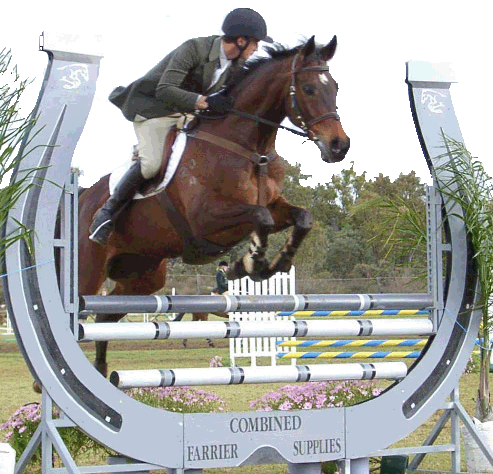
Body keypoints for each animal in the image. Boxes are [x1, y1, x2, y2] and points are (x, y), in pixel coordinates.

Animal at [79, 36, 350, 378]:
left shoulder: (274, 206)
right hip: (88, 271)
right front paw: (249, 263)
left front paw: (274, 262)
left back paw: (101, 370)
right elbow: (259, 218)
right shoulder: (205, 222)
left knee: (104, 318)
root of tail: (81, 197)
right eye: (309, 89)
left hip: (143, 276)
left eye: (336, 87)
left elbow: (302, 218)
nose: (340, 146)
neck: (249, 148)